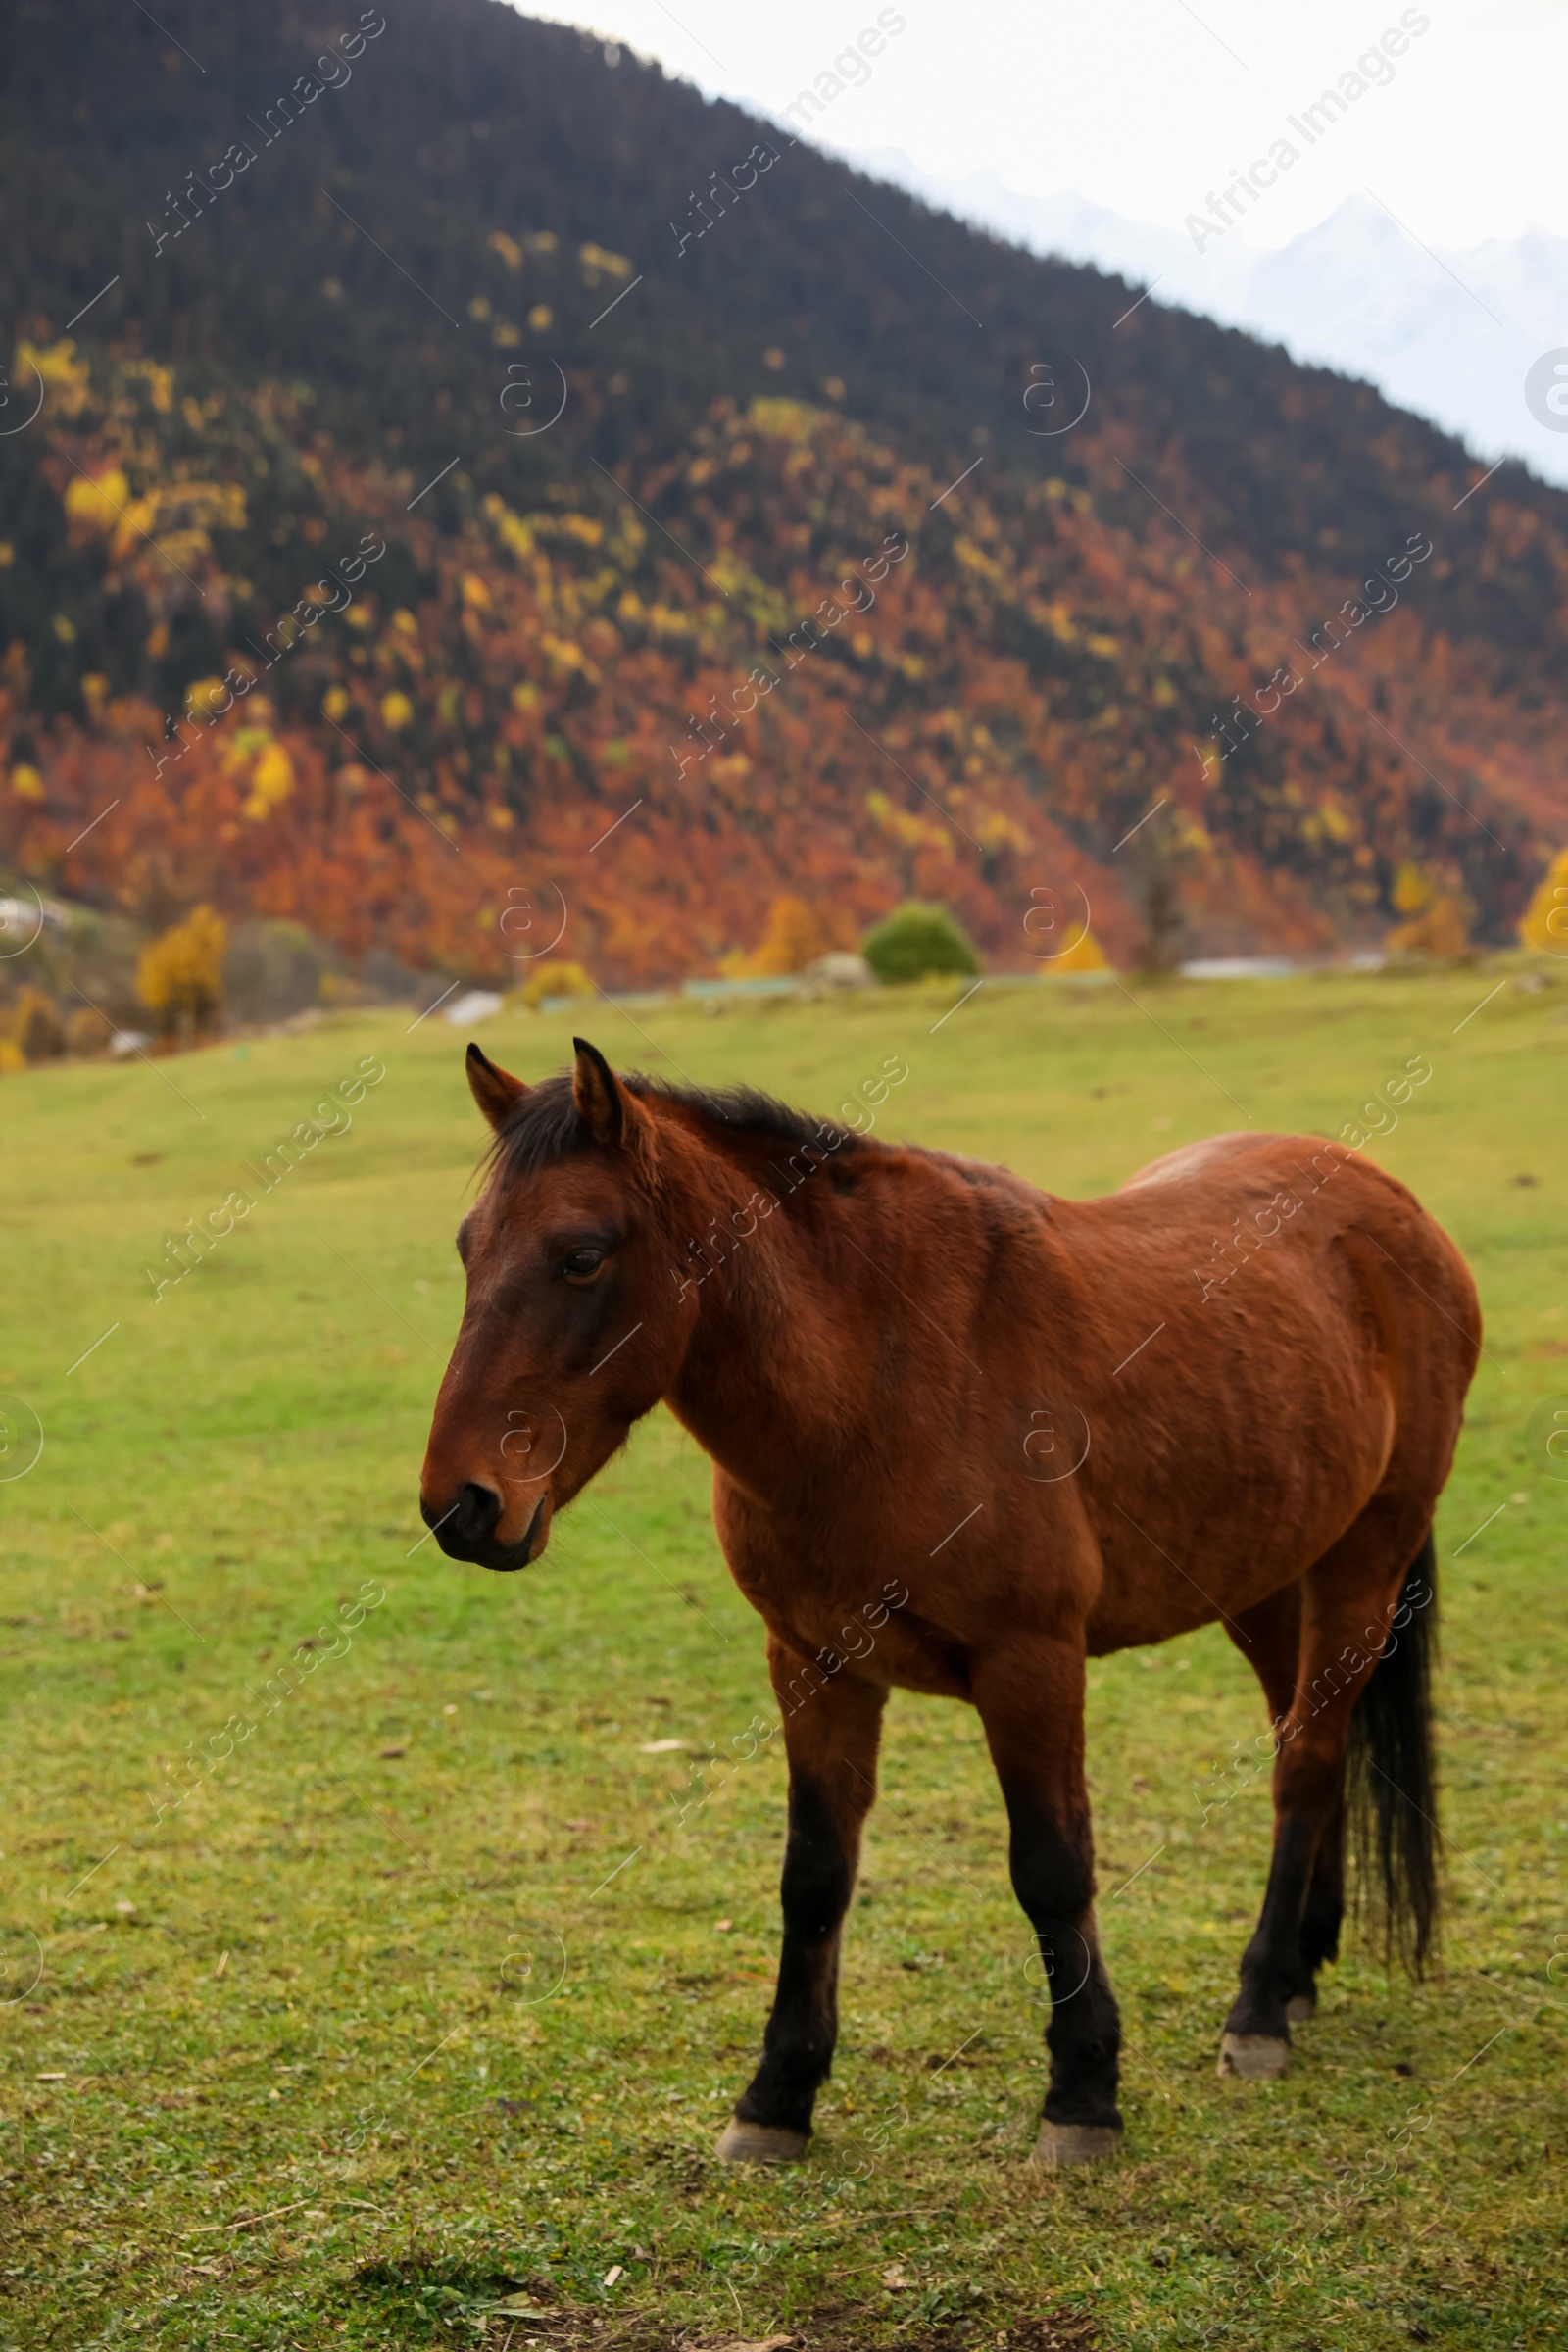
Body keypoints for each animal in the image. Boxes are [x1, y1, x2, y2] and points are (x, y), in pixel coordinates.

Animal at [420, 1044, 1486, 2164]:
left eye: (580, 1256)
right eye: (469, 1249)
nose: (462, 1505)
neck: (880, 1378)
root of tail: (1391, 1205)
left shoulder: (1031, 1665)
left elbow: (1051, 1869)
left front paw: (1081, 2096)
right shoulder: (813, 1663)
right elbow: (814, 1877)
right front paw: (777, 2097)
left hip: (1365, 1561)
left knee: (1307, 1759)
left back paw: (1260, 2007)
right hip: (1266, 1577)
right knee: (1307, 1738)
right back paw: (1301, 1968)